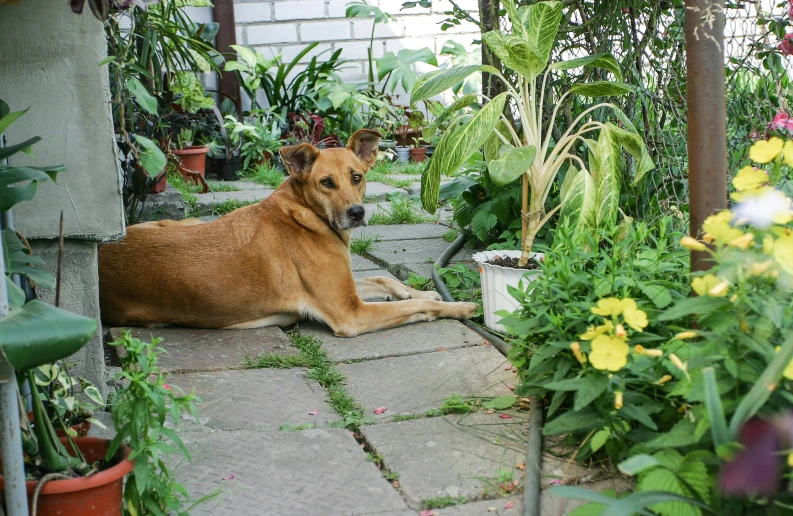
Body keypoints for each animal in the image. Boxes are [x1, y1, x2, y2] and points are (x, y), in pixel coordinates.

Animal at [96, 131, 474, 336]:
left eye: (356, 177)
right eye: (326, 182)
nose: (357, 213)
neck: (305, 213)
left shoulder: (348, 290)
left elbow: (385, 280)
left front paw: (419, 289)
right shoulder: (350, 312)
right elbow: (420, 306)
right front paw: (459, 306)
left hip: (183, 224)